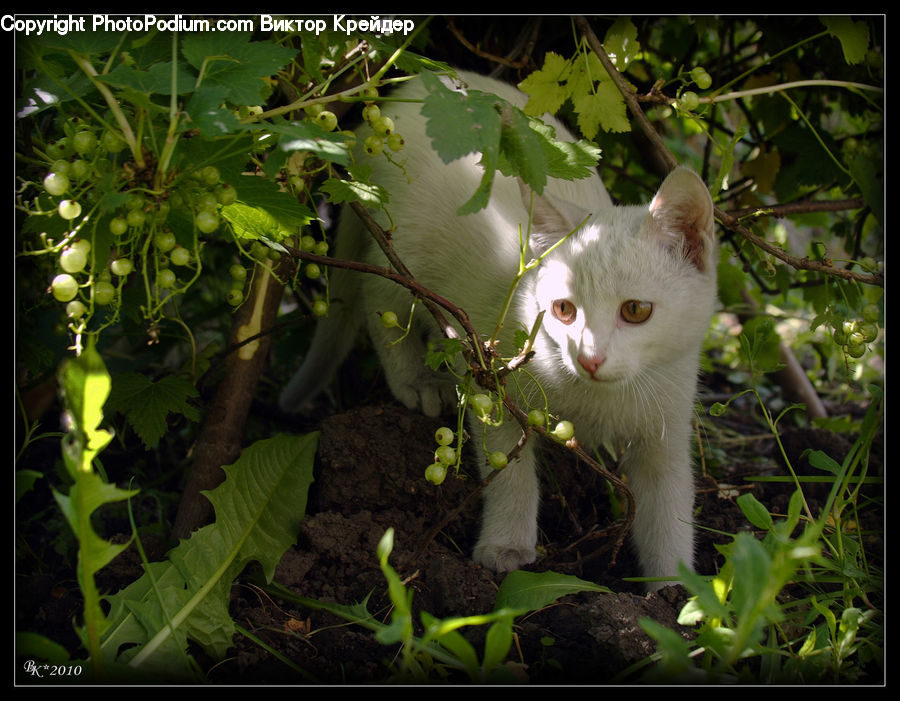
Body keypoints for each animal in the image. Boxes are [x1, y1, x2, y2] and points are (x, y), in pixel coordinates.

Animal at [282, 71, 716, 588]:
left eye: (635, 310)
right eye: (563, 310)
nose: (589, 357)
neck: (597, 397)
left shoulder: (667, 423)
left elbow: (668, 508)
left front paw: (677, 589)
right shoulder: (493, 378)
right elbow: (508, 466)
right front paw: (506, 545)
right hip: (398, 245)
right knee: (381, 302)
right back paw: (416, 379)